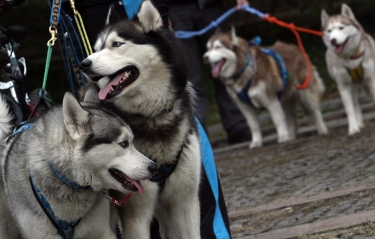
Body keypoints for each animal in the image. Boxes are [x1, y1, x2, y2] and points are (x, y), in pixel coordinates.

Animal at [79, 0, 203, 238]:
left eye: (117, 44)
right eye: (97, 48)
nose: (84, 64)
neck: (152, 117)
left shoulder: (185, 204)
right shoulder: (135, 215)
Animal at [322, 4, 375, 134]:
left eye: (341, 28)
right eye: (329, 31)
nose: (333, 40)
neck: (350, 58)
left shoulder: (371, 80)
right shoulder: (343, 86)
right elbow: (350, 109)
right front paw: (353, 128)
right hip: (353, 87)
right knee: (356, 104)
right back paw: (359, 124)